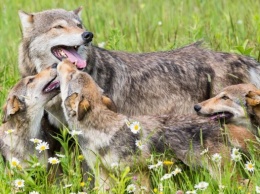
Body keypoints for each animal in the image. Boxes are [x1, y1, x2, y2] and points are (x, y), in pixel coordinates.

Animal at [57, 59, 256, 193]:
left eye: (72, 74)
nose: (67, 60)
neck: (101, 132)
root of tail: (224, 125)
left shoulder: (139, 174)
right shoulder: (103, 176)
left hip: (225, 176)